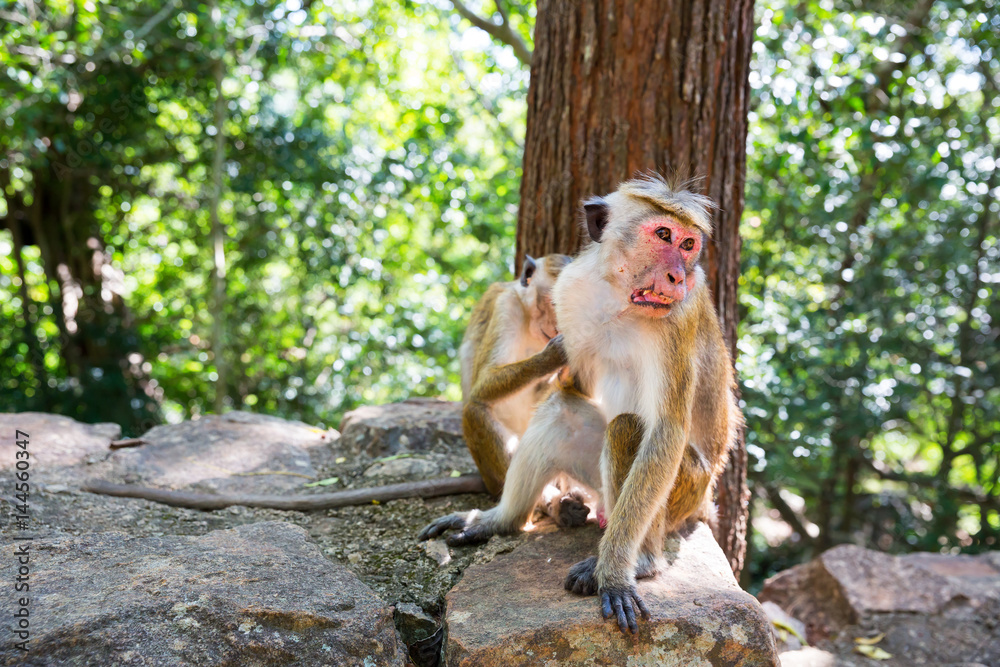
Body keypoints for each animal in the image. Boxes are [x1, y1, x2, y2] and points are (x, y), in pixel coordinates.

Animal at [457, 253, 593, 528]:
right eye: (553, 302)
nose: (558, 327)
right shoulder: (505, 307)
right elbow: (482, 386)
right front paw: (552, 356)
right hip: (493, 479)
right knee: (475, 410)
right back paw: (555, 505)